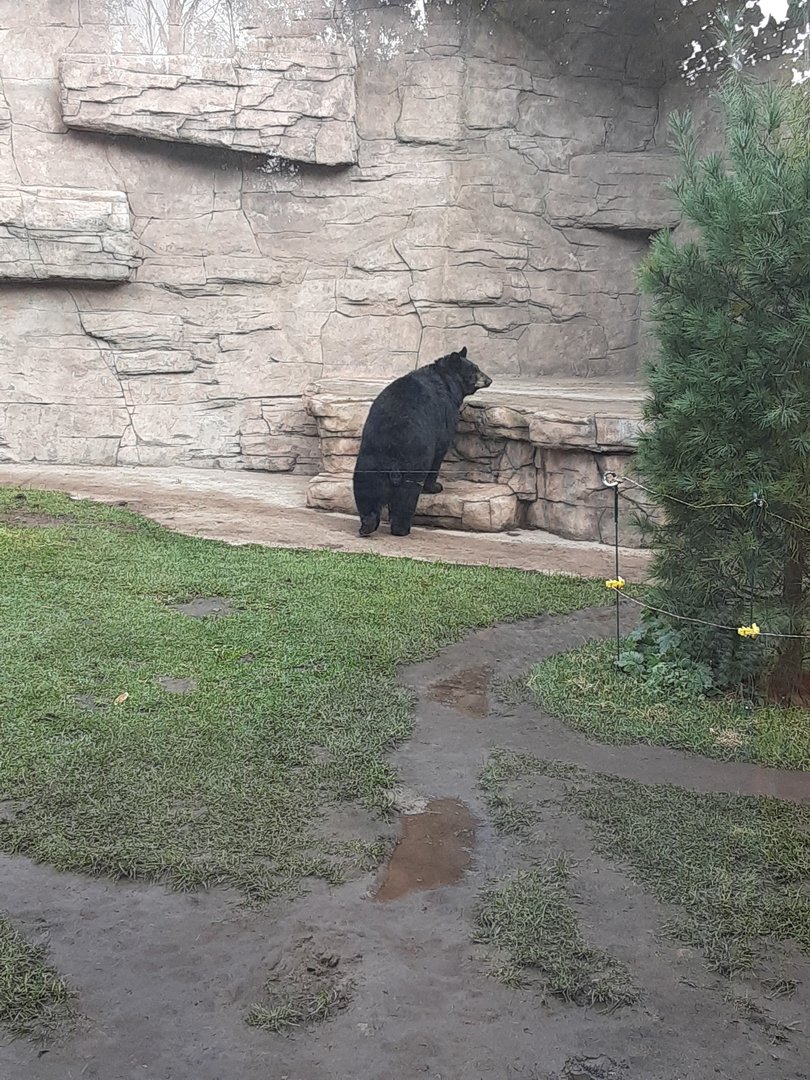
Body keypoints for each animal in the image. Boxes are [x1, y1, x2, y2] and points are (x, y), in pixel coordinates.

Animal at [352, 347, 493, 537]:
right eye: (475, 370)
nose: (489, 380)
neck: (445, 379)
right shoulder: (445, 414)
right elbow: (440, 449)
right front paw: (435, 486)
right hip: (413, 459)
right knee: (407, 494)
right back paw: (401, 529)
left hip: (371, 458)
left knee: (366, 490)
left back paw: (367, 525)